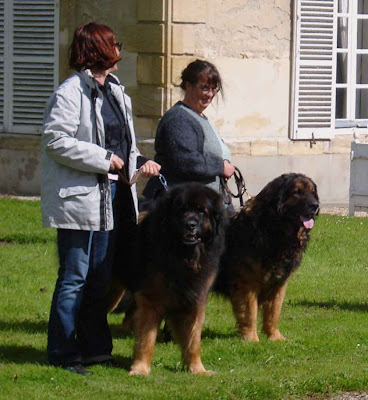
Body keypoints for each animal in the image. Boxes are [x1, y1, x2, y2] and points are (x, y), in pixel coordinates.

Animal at [216, 173, 320, 342]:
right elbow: (250, 312)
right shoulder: (247, 282)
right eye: (297, 192)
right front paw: (252, 339)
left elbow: (274, 312)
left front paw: (275, 337)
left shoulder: (279, 283)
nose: (315, 205)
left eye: (313, 192)